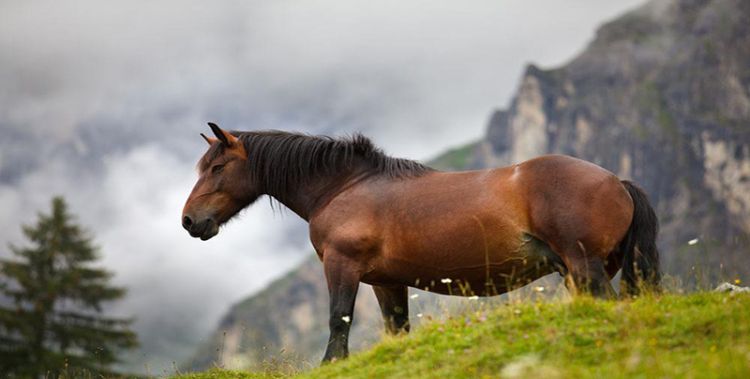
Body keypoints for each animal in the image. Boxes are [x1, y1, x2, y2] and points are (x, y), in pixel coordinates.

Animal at [181, 123, 656, 364]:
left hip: (585, 268)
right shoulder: (386, 282)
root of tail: (617, 181)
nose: (189, 221)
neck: (345, 187)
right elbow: (397, 330)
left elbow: (339, 320)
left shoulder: (342, 267)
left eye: (218, 167)